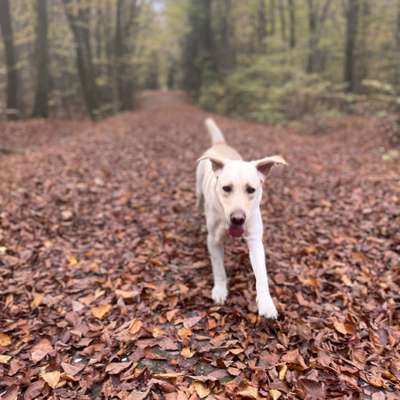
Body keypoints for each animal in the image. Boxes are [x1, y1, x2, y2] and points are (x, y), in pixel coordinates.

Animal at [195, 118, 286, 318]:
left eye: (251, 189)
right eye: (226, 188)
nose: (238, 219)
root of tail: (221, 144)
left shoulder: (255, 240)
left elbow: (262, 274)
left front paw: (266, 303)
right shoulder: (213, 240)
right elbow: (218, 268)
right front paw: (220, 290)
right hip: (198, 188)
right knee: (198, 202)